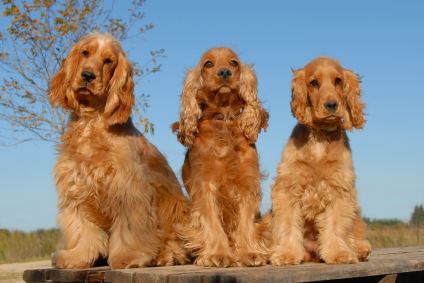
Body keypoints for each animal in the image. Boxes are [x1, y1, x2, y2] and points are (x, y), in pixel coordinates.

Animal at [48, 32, 190, 268]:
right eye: (85, 52)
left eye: (108, 61)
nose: (87, 75)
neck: (91, 123)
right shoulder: (76, 188)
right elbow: (82, 229)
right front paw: (76, 257)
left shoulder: (128, 190)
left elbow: (129, 231)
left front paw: (128, 257)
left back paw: (163, 255)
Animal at [174, 47, 270, 268]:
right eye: (208, 64)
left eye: (234, 62)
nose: (225, 72)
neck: (224, 120)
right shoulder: (204, 185)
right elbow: (212, 222)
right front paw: (218, 254)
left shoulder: (247, 183)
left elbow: (245, 222)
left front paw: (249, 253)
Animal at [270, 57, 372, 266]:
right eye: (314, 83)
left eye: (338, 80)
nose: (331, 105)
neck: (320, 137)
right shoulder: (288, 186)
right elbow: (287, 223)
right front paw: (286, 254)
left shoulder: (340, 188)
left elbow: (336, 225)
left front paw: (339, 253)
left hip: (356, 212)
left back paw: (359, 249)